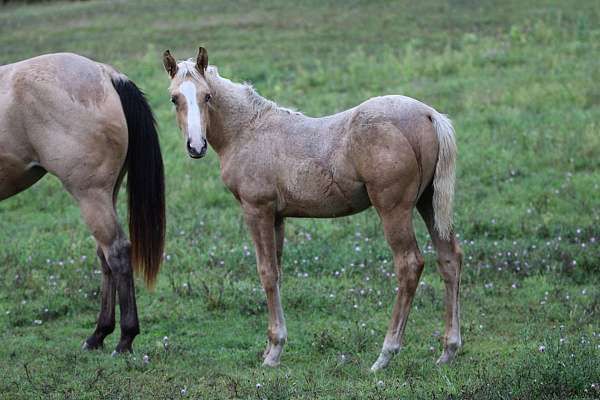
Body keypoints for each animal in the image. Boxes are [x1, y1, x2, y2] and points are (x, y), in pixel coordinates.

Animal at [164, 48, 464, 370]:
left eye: (207, 96)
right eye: (174, 98)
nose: (196, 146)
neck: (247, 130)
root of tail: (429, 114)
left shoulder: (257, 210)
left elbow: (266, 272)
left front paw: (273, 352)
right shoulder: (277, 217)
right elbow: (277, 273)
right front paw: (271, 348)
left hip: (393, 209)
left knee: (409, 264)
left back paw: (385, 355)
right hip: (429, 204)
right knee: (450, 258)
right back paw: (448, 351)